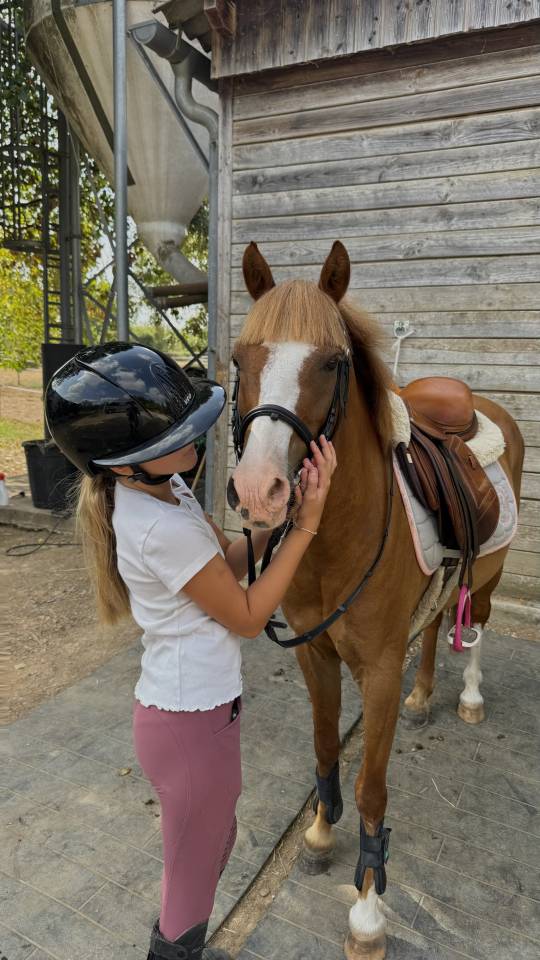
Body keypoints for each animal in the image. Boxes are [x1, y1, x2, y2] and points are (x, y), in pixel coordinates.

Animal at [228, 240, 524, 960]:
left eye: (332, 363)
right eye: (239, 360)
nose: (257, 492)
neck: (340, 536)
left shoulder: (380, 670)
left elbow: (371, 789)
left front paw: (367, 909)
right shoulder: (316, 655)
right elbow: (325, 749)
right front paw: (317, 834)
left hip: (490, 578)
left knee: (476, 629)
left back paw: (468, 698)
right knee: (441, 621)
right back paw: (423, 700)